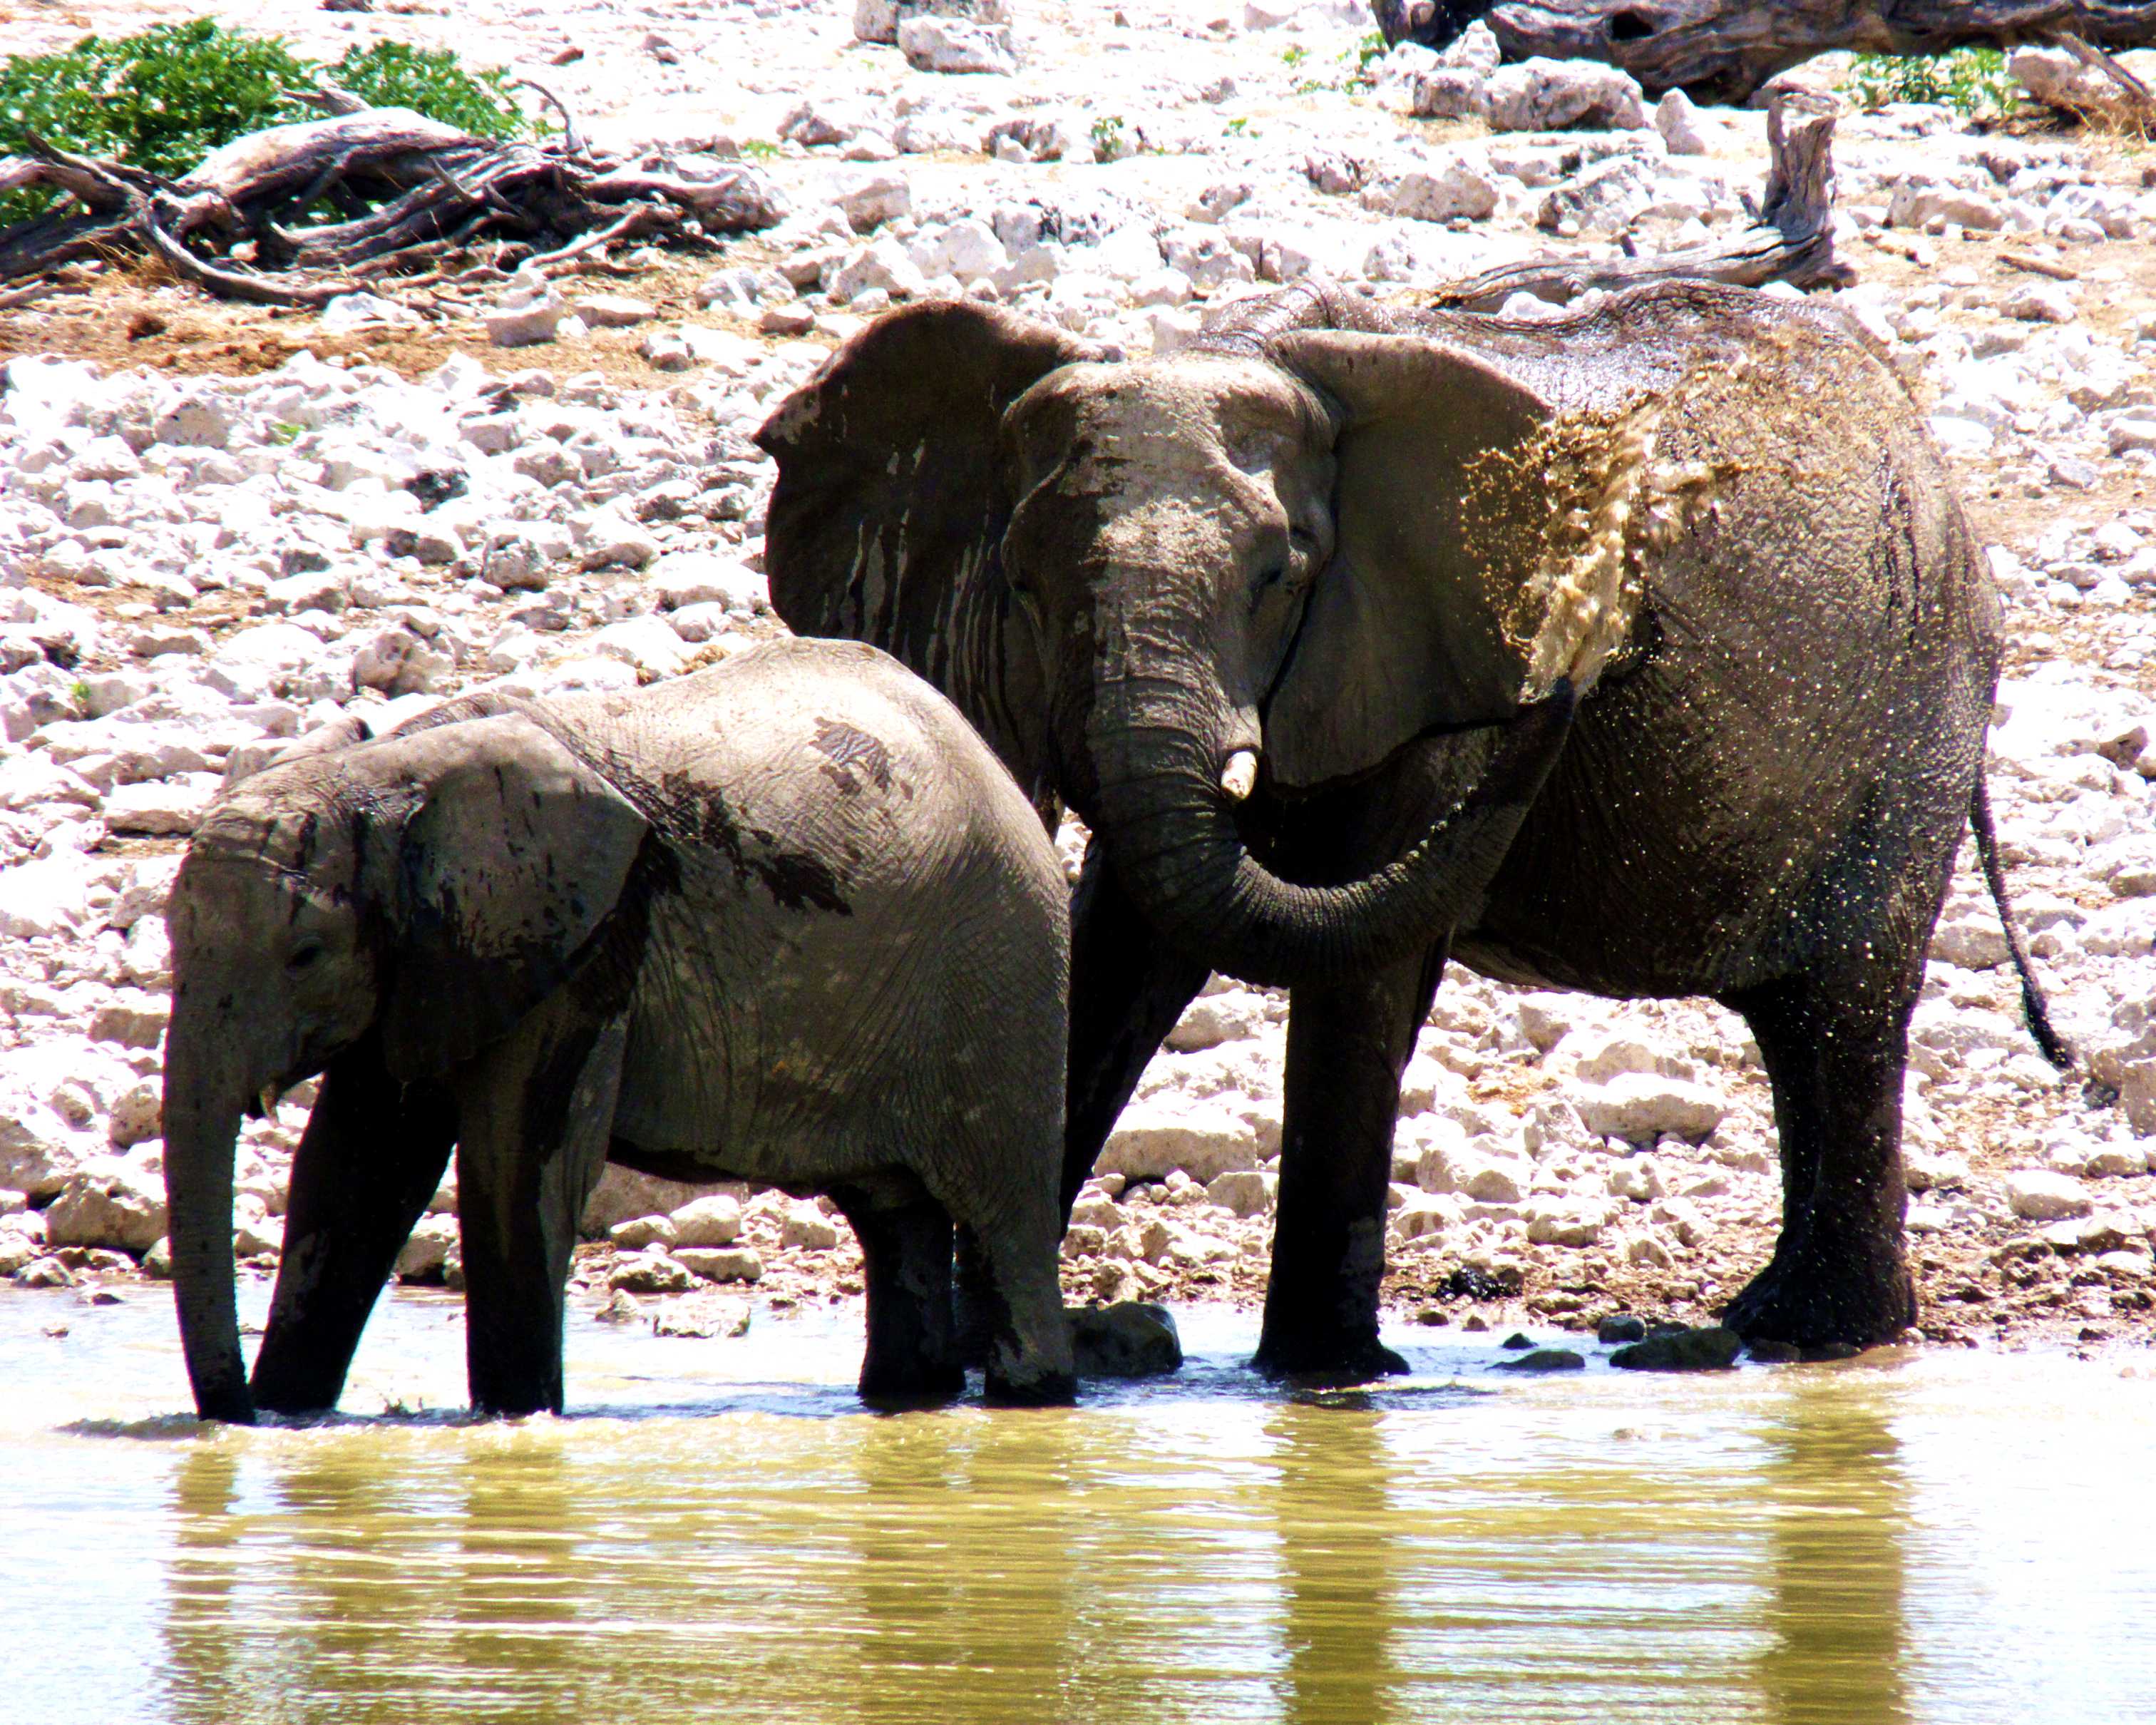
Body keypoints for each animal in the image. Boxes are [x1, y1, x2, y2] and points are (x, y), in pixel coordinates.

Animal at [163, 637, 1076, 1423]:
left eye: (305, 954)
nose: (235, 1411)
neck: (384, 771)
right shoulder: (434, 957)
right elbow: (353, 1172)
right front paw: (289, 1414)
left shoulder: (585, 945)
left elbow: (516, 1170)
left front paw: (516, 1418)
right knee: (894, 1217)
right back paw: (908, 1396)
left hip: (1004, 975)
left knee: (1005, 1221)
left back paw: (1032, 1396)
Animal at [754, 278, 2065, 1376]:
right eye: (1022, 582)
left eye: (1280, 574)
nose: (1589, 641)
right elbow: (1122, 941)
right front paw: (1008, 1356)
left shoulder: (1427, 663)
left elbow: (1358, 970)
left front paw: (1321, 1379)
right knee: (1804, 1032)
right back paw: (1771, 1324)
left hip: (1911, 717)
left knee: (1843, 1016)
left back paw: (1819, 1337)